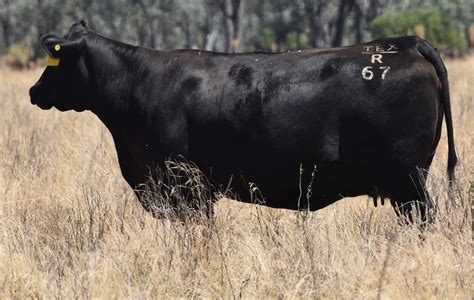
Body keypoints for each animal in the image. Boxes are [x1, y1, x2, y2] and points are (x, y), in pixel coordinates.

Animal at [28, 21, 456, 223]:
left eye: (55, 63)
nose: (34, 91)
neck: (140, 81)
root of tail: (406, 42)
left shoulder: (186, 187)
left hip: (408, 180)